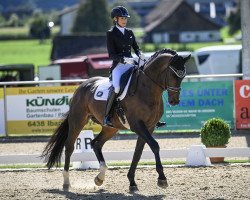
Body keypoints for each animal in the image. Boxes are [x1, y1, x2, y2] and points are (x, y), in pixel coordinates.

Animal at [41, 48, 189, 191]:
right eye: (173, 75)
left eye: (183, 76)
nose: (174, 101)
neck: (146, 88)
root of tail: (84, 84)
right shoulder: (137, 125)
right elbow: (154, 145)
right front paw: (162, 179)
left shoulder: (149, 126)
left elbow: (138, 152)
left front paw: (132, 182)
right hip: (78, 120)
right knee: (69, 147)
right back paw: (66, 182)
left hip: (111, 128)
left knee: (96, 143)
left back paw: (99, 178)